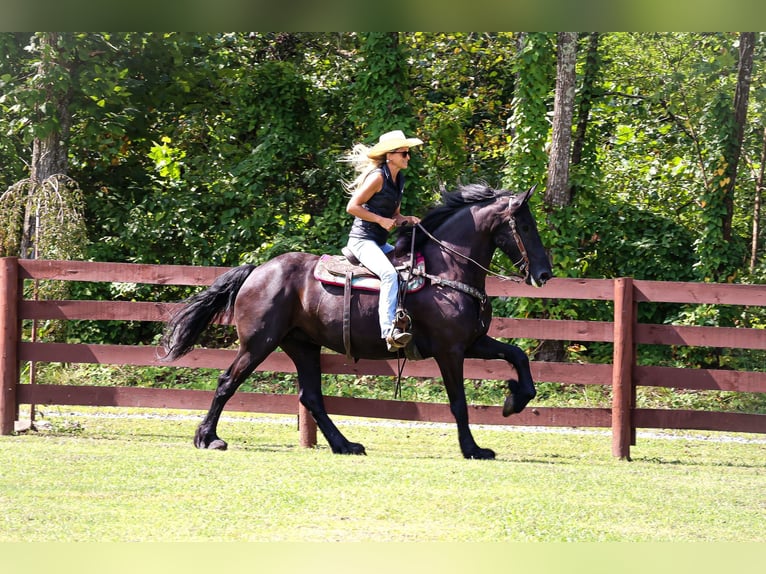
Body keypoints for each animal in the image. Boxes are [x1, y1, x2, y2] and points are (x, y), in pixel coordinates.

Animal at [165, 187, 556, 462]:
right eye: (524, 225)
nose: (544, 273)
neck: (444, 271)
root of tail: (258, 270)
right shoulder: (450, 351)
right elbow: (458, 401)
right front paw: (473, 448)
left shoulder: (473, 342)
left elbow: (518, 356)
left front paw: (514, 399)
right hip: (259, 343)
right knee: (227, 382)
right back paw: (208, 438)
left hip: (302, 345)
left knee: (311, 396)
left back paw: (345, 444)